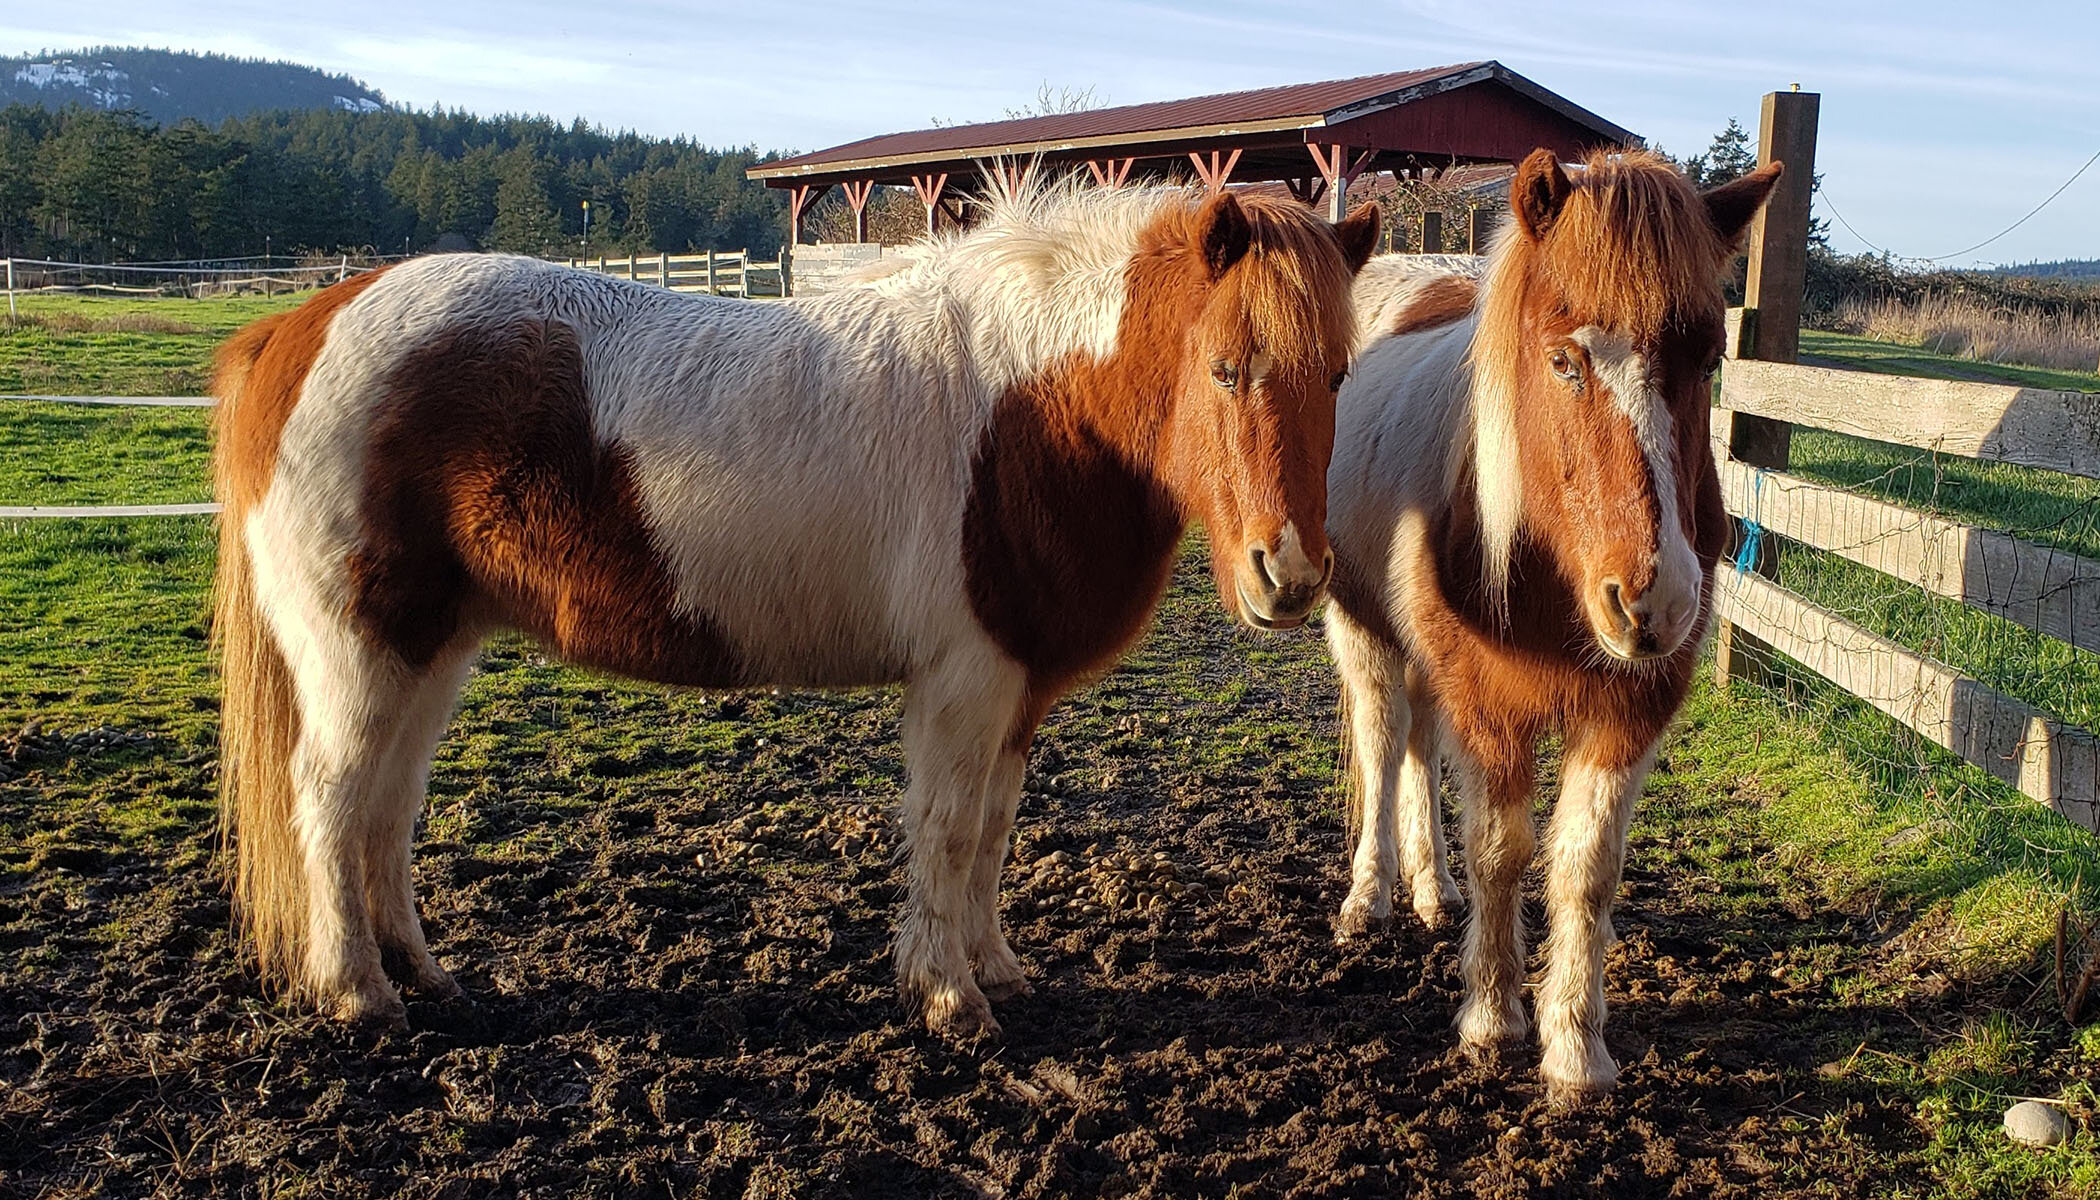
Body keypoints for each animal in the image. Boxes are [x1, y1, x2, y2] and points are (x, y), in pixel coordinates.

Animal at [213, 185, 1377, 1042]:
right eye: (1226, 368)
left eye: (1337, 374)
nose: (1288, 575)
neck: (1030, 408)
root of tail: (298, 326)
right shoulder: (963, 683)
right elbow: (949, 831)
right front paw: (949, 997)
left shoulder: (1016, 690)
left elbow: (994, 833)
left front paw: (996, 968)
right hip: (360, 653)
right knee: (330, 801)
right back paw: (360, 994)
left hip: (430, 650)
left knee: (388, 808)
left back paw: (423, 974)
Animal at [1327, 152, 1772, 1109]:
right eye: (1564, 359)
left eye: (1710, 357)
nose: (1656, 602)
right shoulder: (1492, 704)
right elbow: (1502, 850)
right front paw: (1493, 1020)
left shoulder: (1627, 714)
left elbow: (1583, 870)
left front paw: (1574, 1047)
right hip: (1365, 631)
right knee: (1384, 745)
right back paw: (1371, 897)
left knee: (1419, 746)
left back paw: (1432, 890)